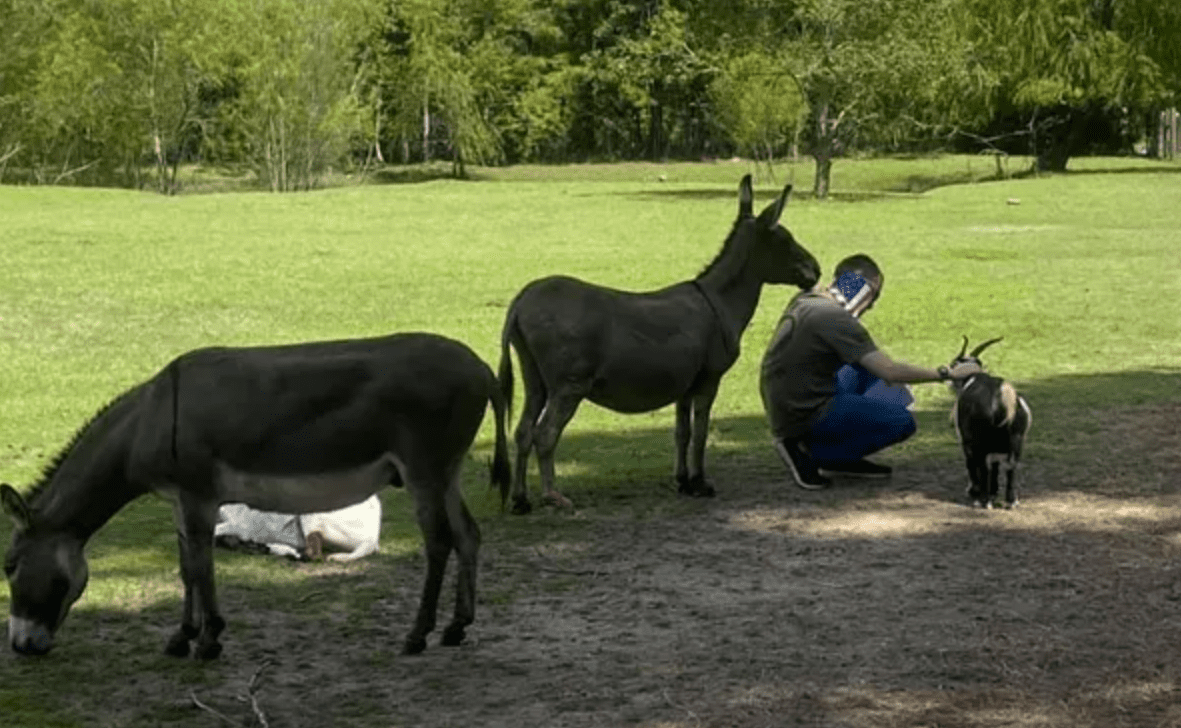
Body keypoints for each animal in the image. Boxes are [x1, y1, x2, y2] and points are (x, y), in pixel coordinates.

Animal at [944, 335, 1029, 505]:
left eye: (954, 363)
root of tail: (1002, 396)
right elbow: (996, 465)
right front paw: (994, 491)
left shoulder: (965, 441)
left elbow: (971, 463)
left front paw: (973, 490)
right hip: (1016, 440)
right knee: (1011, 466)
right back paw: (1010, 501)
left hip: (980, 440)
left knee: (983, 465)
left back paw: (983, 500)